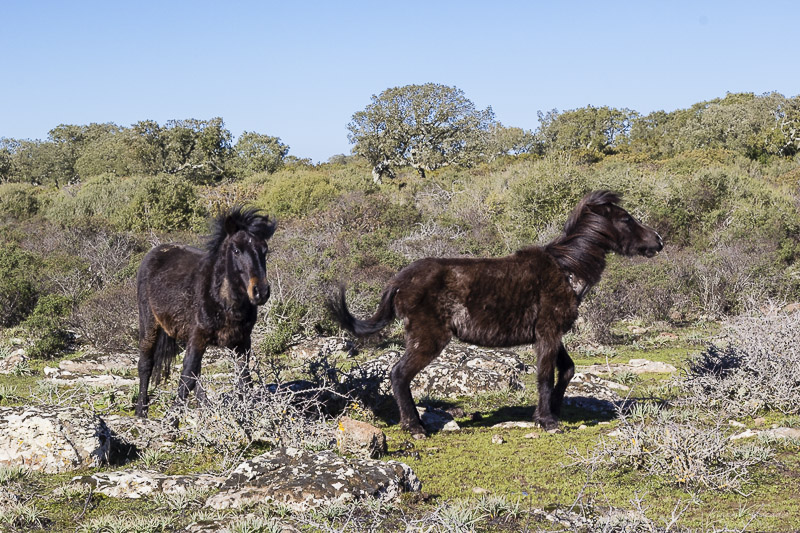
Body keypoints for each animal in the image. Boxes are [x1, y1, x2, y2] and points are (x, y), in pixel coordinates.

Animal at [134, 206, 276, 418]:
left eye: (264, 250)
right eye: (236, 250)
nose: (261, 292)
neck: (223, 301)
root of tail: (156, 251)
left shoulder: (242, 341)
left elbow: (244, 378)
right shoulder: (198, 336)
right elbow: (187, 377)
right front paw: (172, 419)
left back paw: (206, 406)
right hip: (150, 323)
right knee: (146, 363)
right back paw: (141, 410)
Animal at [328, 191, 664, 436]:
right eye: (626, 218)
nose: (659, 241)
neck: (567, 268)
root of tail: (398, 280)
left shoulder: (552, 333)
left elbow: (567, 370)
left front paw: (554, 410)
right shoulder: (547, 333)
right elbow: (545, 375)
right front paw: (547, 421)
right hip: (429, 337)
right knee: (399, 374)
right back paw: (415, 427)